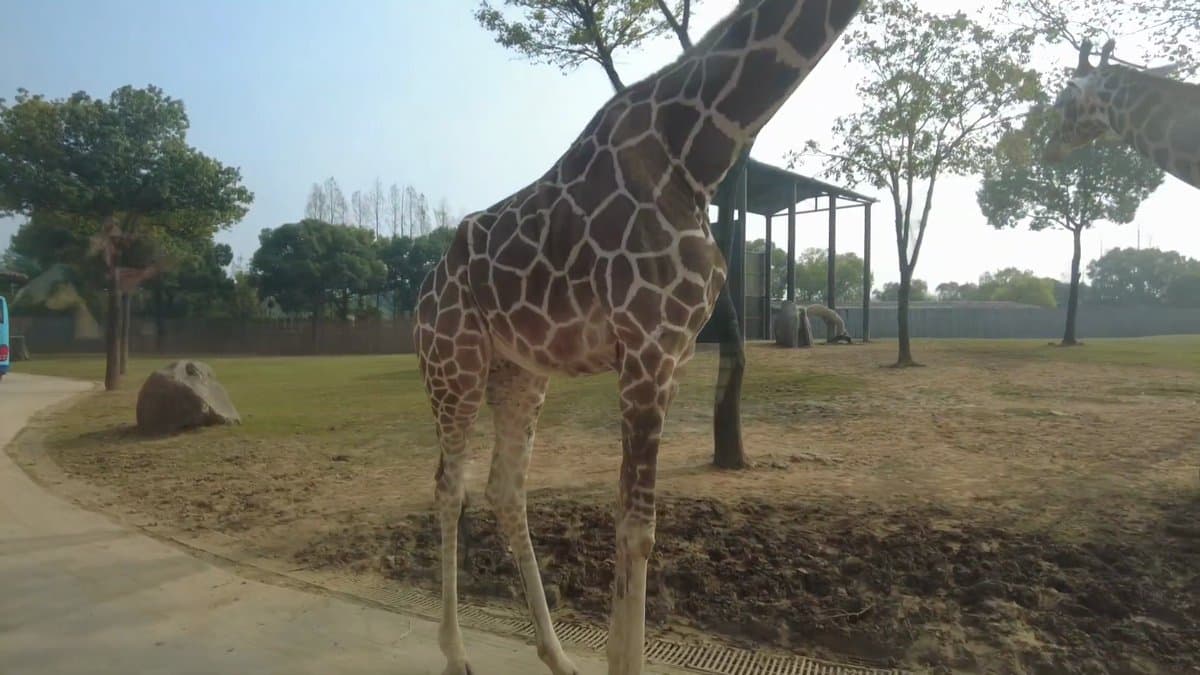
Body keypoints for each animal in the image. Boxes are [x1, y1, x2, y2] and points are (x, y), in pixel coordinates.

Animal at [412, 2, 862, 673]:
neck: (702, 153)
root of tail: (424, 288)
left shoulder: (671, 353)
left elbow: (637, 521)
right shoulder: (647, 345)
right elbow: (635, 527)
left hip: (521, 374)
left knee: (505, 489)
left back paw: (556, 655)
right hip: (454, 365)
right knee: (448, 488)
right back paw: (456, 652)